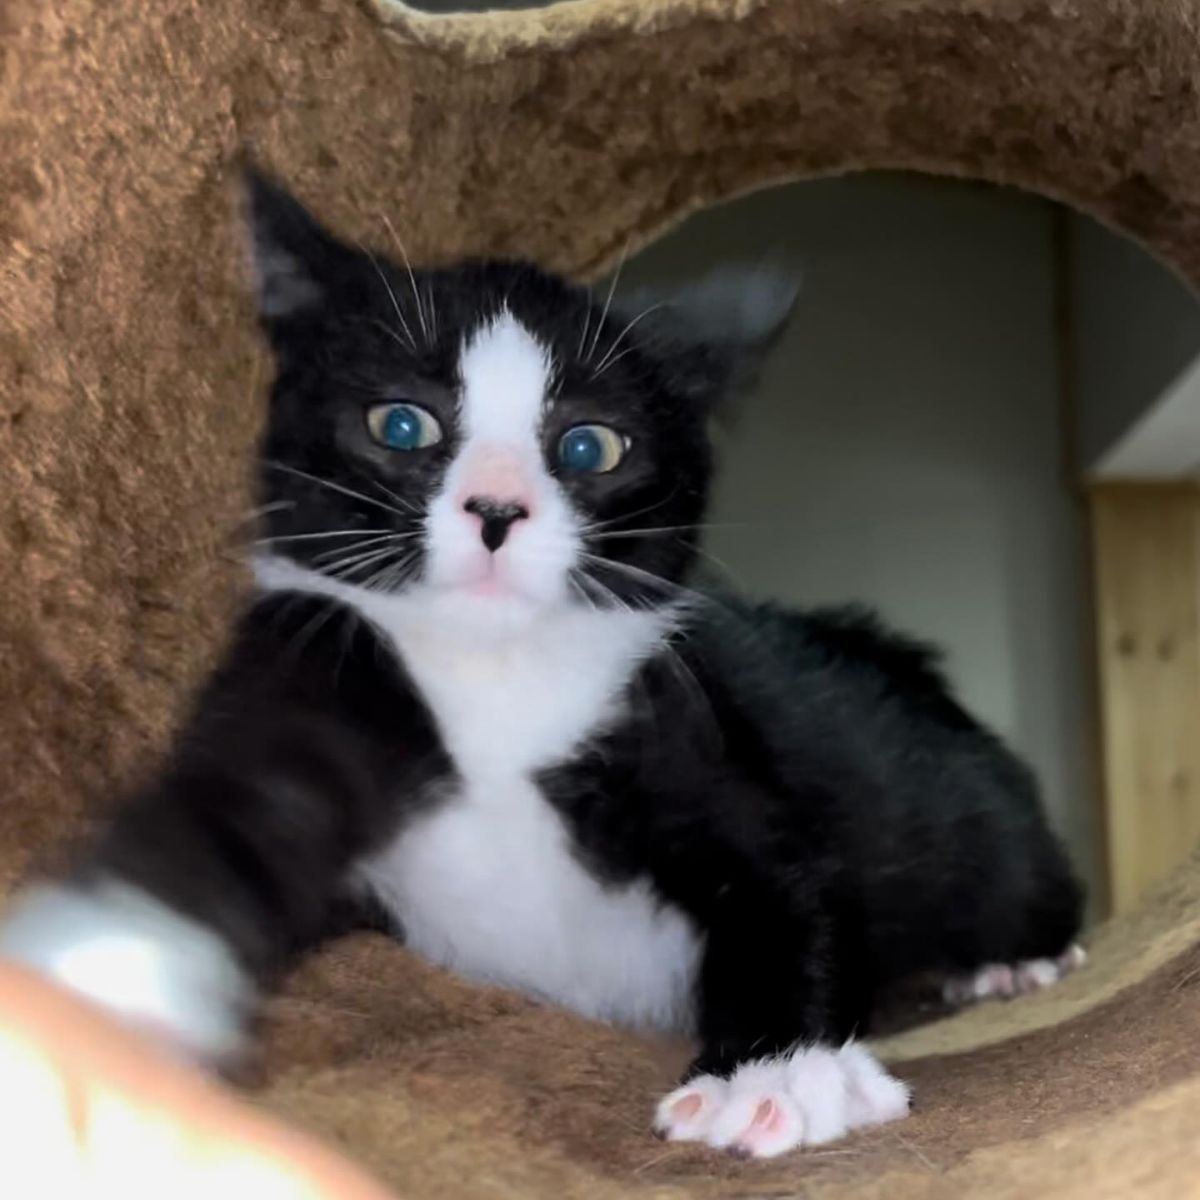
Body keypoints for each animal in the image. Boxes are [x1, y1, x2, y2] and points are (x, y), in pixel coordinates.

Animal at [0, 166, 1089, 1152]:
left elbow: (790, 880)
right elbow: (219, 824)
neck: (495, 687)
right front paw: (92, 992)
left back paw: (1013, 965)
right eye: (402, 423)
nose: (496, 509)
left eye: (590, 447)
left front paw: (772, 1074)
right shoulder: (317, 679)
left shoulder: (695, 732)